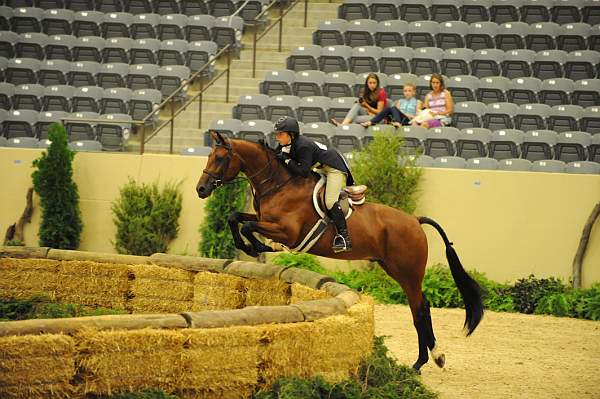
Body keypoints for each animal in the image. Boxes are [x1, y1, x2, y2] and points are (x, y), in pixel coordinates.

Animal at [197, 133, 482, 374]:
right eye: (209, 156)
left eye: (220, 158)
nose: (201, 189)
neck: (279, 184)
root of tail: (415, 220)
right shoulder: (263, 219)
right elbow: (235, 218)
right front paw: (253, 246)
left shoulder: (288, 231)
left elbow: (247, 226)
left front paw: (256, 247)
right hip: (395, 270)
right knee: (419, 308)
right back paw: (428, 359)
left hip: (409, 272)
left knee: (420, 309)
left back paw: (427, 360)